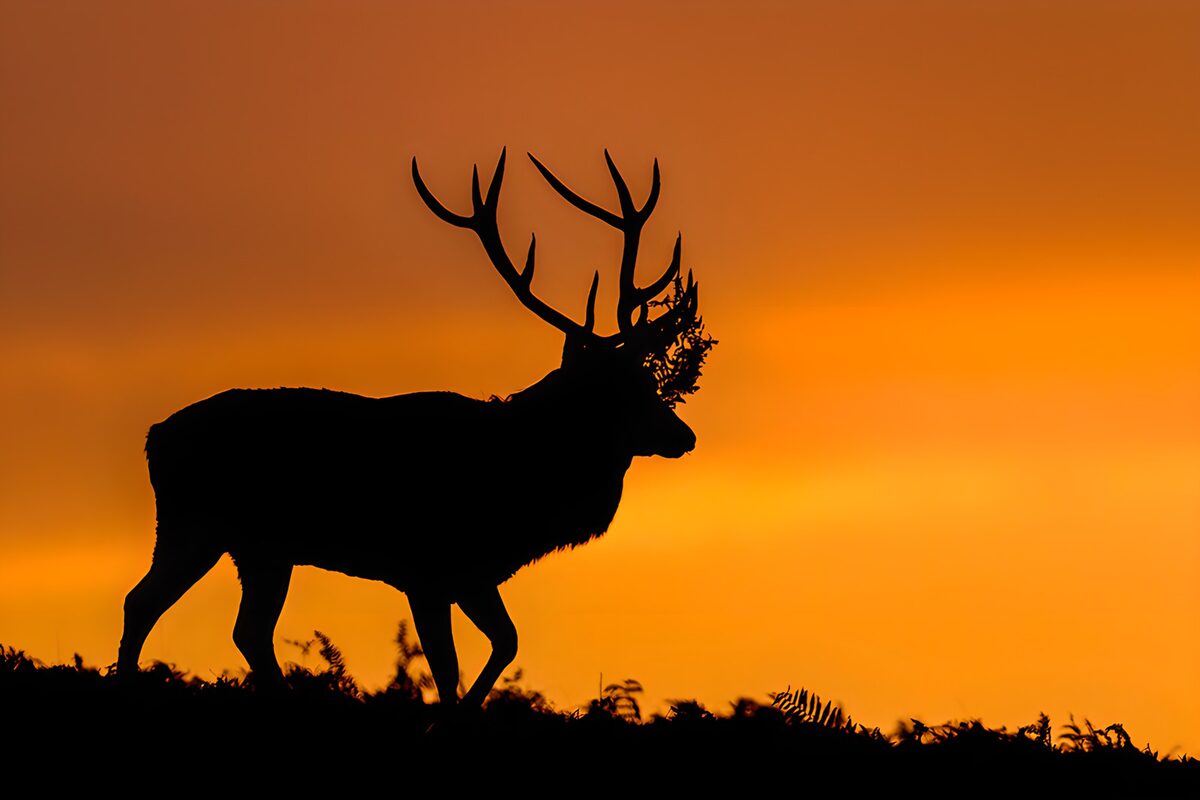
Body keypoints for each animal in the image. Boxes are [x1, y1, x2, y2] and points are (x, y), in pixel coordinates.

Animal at [117, 149, 714, 710]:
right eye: (619, 390)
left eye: (648, 378)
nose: (684, 436)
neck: (523, 489)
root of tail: (154, 437)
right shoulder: (426, 570)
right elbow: (447, 669)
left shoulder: (474, 574)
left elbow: (506, 642)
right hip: (194, 524)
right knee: (144, 603)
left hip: (258, 548)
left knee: (244, 630)